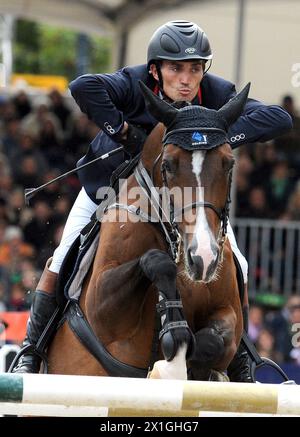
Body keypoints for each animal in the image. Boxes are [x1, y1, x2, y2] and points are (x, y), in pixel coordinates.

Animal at [46, 82, 248, 382]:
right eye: (168, 165)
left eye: (229, 164)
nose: (203, 258)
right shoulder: (101, 308)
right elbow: (155, 260)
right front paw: (174, 339)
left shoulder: (229, 312)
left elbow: (215, 341)